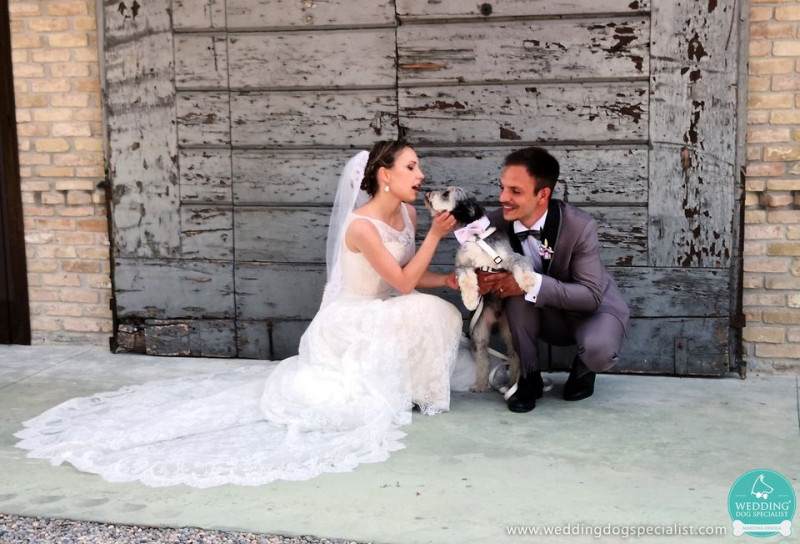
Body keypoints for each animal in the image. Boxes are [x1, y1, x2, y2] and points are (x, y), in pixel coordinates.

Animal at [424, 187, 541, 393]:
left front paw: (528, 283)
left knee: (514, 357)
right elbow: (467, 280)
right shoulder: (463, 266)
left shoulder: (511, 258)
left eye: (446, 194)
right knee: (482, 359)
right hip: (479, 333)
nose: (428, 190)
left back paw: (511, 383)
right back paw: (480, 384)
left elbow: (521, 265)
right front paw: (471, 300)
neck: (475, 237)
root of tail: (496, 319)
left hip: (510, 333)